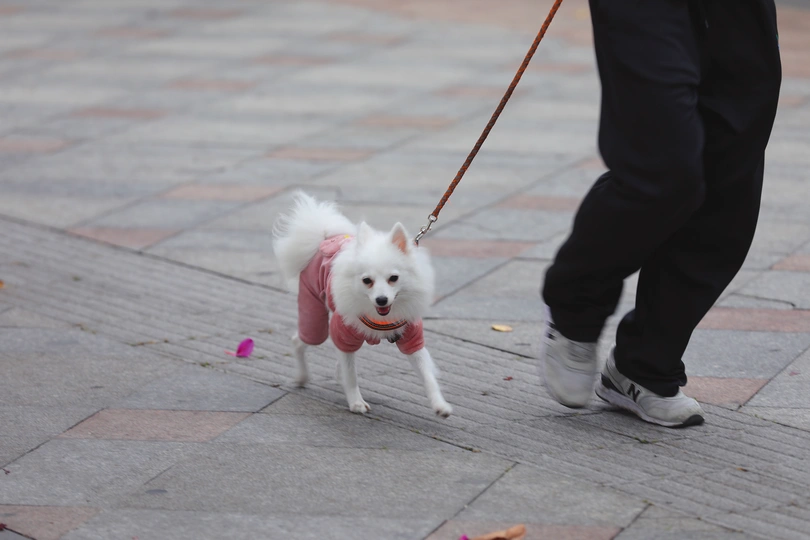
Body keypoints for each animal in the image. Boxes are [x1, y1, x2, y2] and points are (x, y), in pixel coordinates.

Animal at [272, 191, 452, 417]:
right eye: (367, 281)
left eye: (394, 278)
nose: (381, 299)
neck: (382, 317)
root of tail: (325, 237)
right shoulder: (343, 333)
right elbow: (351, 375)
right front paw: (356, 402)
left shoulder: (412, 338)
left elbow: (428, 375)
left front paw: (440, 405)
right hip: (313, 312)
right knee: (300, 340)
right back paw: (302, 377)